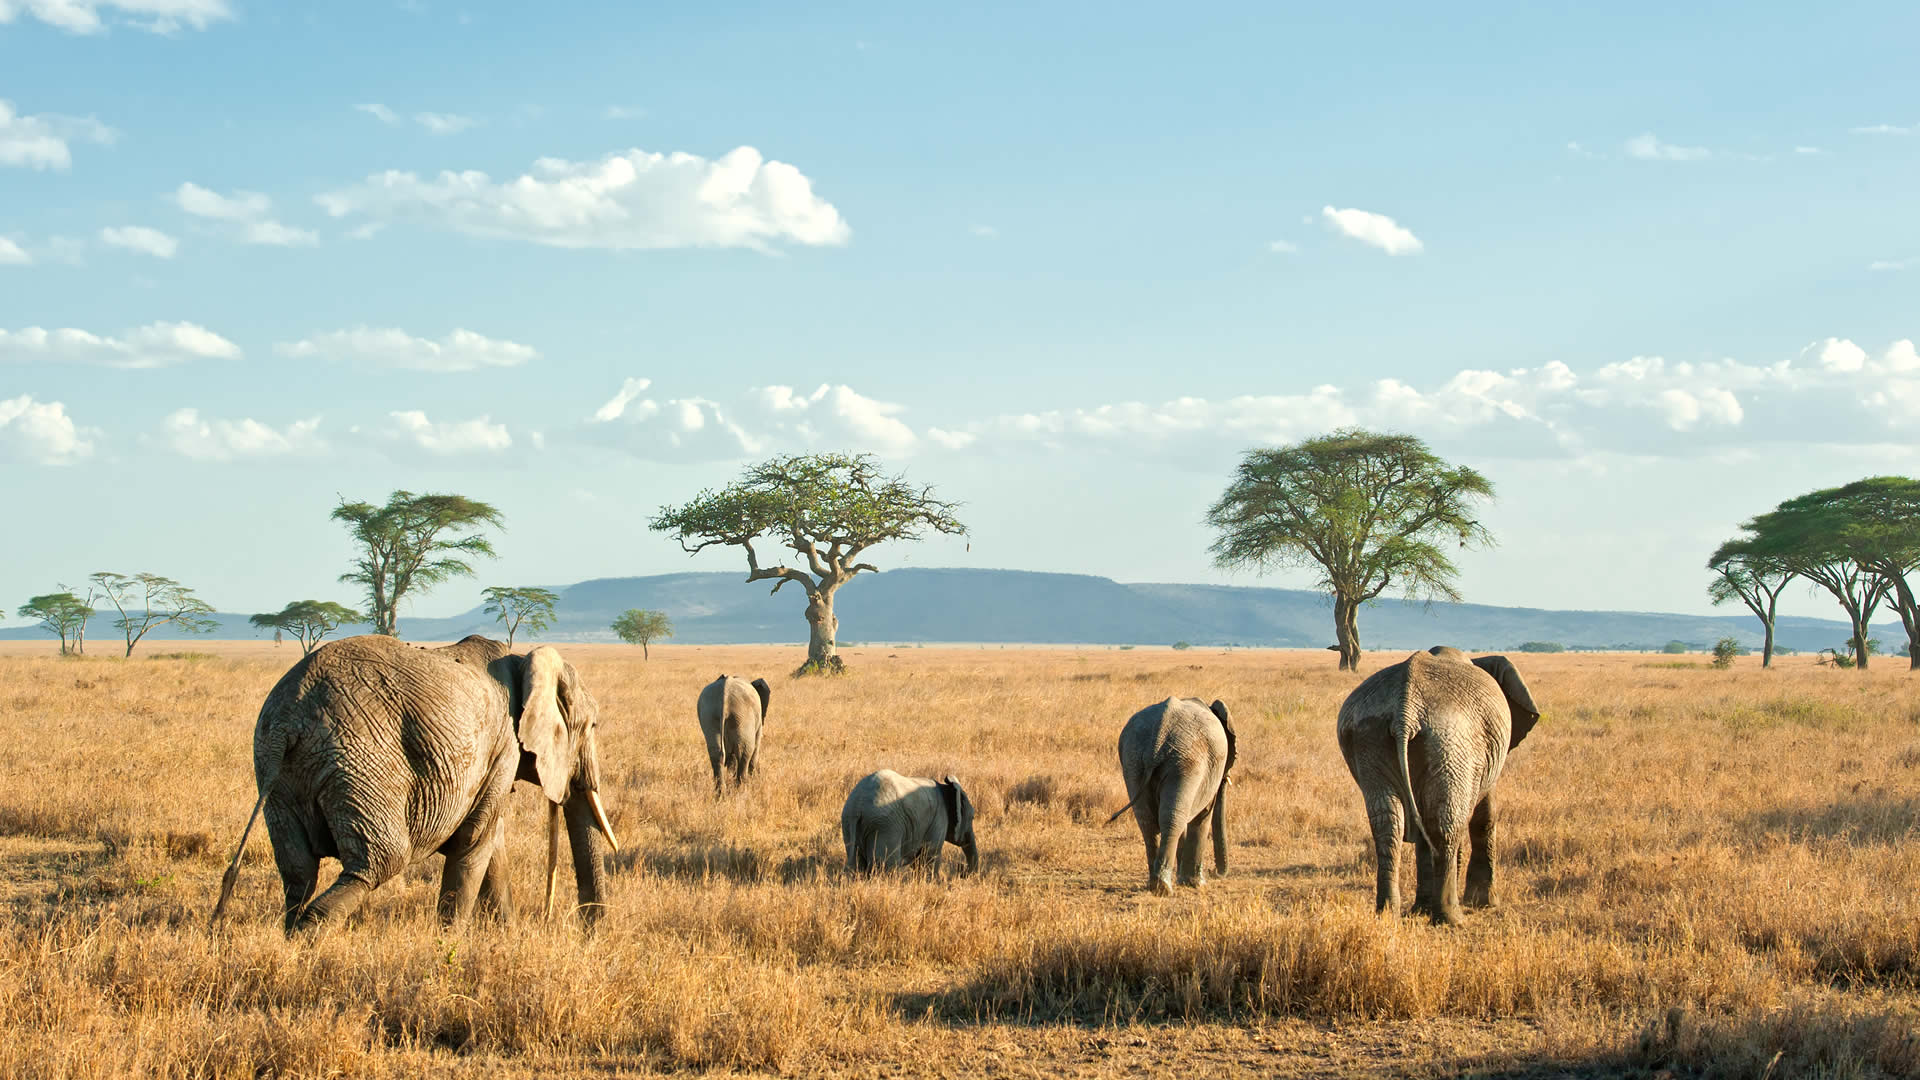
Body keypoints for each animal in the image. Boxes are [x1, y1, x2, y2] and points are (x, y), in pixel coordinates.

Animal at [216, 634, 622, 930]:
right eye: (592, 726)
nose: (589, 932)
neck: (524, 660)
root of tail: (289, 719)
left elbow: (492, 844)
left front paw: (508, 938)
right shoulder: (503, 744)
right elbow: (474, 843)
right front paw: (448, 945)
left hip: (277, 772)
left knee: (298, 871)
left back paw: (291, 940)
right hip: (361, 761)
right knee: (379, 861)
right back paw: (308, 940)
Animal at [840, 764, 983, 876]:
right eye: (972, 817)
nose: (962, 871)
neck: (946, 787)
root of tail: (857, 805)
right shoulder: (939, 818)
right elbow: (929, 854)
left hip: (849, 824)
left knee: (857, 863)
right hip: (884, 826)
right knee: (885, 866)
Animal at [1105, 699, 1236, 891]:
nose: (1214, 872)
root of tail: (1159, 737)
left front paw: (1185, 880)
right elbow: (1203, 816)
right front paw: (1196, 884)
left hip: (1133, 760)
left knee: (1148, 821)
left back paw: (1155, 885)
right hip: (1186, 763)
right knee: (1172, 819)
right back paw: (1163, 888)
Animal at [1336, 641, 1543, 922]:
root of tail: (1405, 711)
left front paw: (1421, 909)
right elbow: (1484, 815)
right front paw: (1485, 903)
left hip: (1370, 736)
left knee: (1388, 824)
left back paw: (1388, 914)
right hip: (1449, 740)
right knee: (1446, 824)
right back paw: (1451, 918)